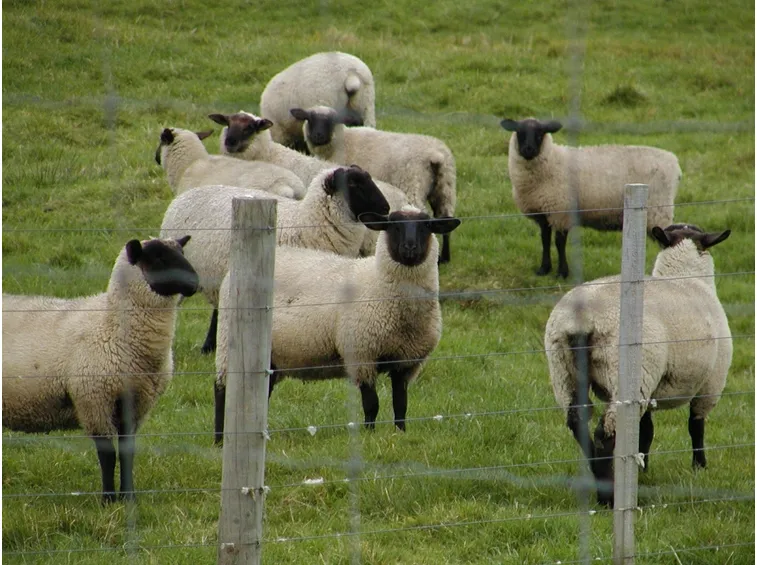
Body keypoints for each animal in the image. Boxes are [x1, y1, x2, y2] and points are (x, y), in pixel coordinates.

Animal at [2, 236, 199, 503]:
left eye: (181, 252)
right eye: (158, 258)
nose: (195, 283)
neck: (111, 324)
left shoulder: (136, 403)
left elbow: (127, 452)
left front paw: (128, 498)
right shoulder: (93, 399)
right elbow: (107, 455)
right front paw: (107, 500)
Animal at [214, 207, 462, 444]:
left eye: (427, 226)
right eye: (393, 225)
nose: (410, 248)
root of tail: (231, 273)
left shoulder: (406, 362)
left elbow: (401, 404)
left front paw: (399, 433)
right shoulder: (362, 355)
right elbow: (371, 404)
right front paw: (369, 434)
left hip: (272, 358)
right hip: (228, 342)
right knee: (221, 390)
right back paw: (219, 440)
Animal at [290, 105, 458, 263]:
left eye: (331, 121)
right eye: (310, 119)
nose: (318, 136)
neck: (342, 141)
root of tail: (436, 155)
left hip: (414, 185)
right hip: (445, 187)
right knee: (445, 218)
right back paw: (444, 258)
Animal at [500, 117, 682, 278]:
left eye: (540, 133)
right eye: (519, 132)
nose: (528, 149)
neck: (552, 161)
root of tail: (674, 162)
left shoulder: (561, 212)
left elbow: (559, 242)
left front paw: (562, 273)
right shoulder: (543, 214)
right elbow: (545, 240)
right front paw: (544, 269)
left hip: (658, 211)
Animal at [544, 223, 732, 507]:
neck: (686, 278)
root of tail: (582, 320)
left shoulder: (653, 389)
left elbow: (646, 430)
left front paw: (642, 468)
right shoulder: (712, 383)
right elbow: (696, 426)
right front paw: (700, 466)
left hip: (564, 371)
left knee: (577, 423)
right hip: (630, 374)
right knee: (605, 434)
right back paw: (607, 496)